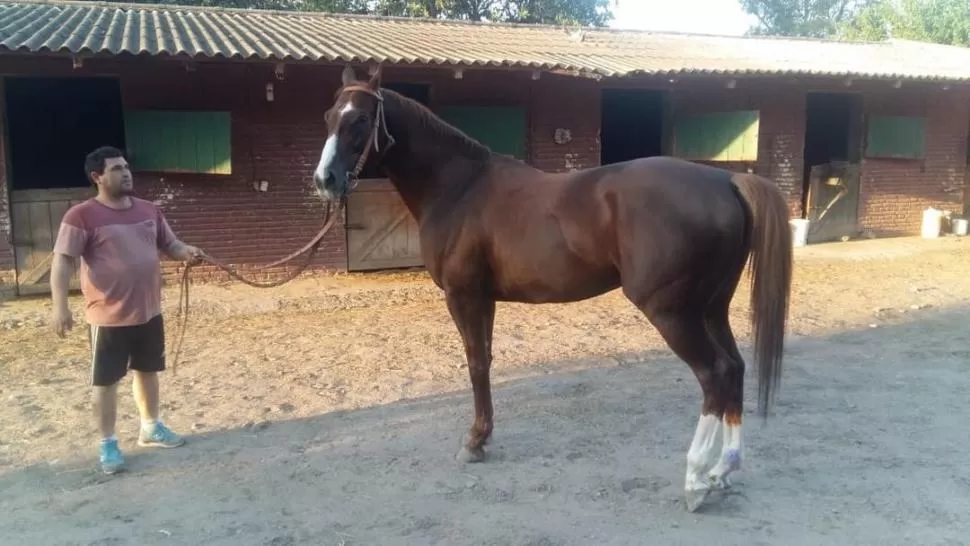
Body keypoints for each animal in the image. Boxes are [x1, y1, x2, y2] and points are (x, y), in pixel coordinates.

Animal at [314, 63, 792, 510]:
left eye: (360, 120)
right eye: (328, 116)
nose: (325, 180)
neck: (459, 188)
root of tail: (725, 180)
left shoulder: (463, 296)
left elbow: (475, 365)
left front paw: (474, 442)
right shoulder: (484, 299)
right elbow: (485, 362)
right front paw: (483, 437)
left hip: (672, 313)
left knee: (714, 375)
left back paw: (695, 481)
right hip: (711, 308)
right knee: (734, 369)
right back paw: (723, 471)